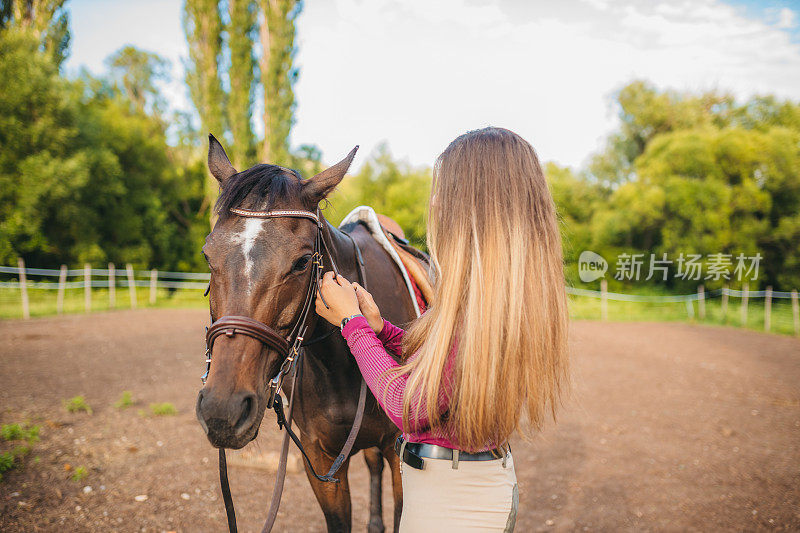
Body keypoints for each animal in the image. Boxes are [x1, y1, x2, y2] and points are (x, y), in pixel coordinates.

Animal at [197, 134, 418, 532]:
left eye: (302, 262)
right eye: (208, 256)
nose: (223, 410)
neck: (340, 365)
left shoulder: (399, 451)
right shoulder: (320, 459)